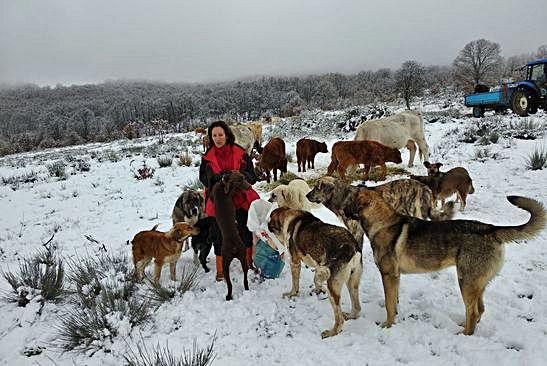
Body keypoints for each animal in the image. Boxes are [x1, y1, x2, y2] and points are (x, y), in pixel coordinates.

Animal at [268, 207, 364, 338]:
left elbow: (295, 284)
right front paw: (318, 290)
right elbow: (316, 279)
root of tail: (353, 247)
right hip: (352, 282)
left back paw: (331, 332)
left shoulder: (295, 263)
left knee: (339, 320)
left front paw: (292, 294)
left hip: (333, 288)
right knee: (357, 308)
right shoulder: (320, 266)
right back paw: (350, 315)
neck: (289, 216)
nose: (266, 225)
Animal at [356, 190, 544, 336]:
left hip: (466, 283)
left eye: (351, 193)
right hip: (476, 285)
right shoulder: (395, 277)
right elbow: (394, 302)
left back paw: (465, 334)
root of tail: (491, 229)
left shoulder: (388, 275)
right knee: (480, 310)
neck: (381, 223)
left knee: (473, 312)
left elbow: (389, 305)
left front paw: (388, 325)